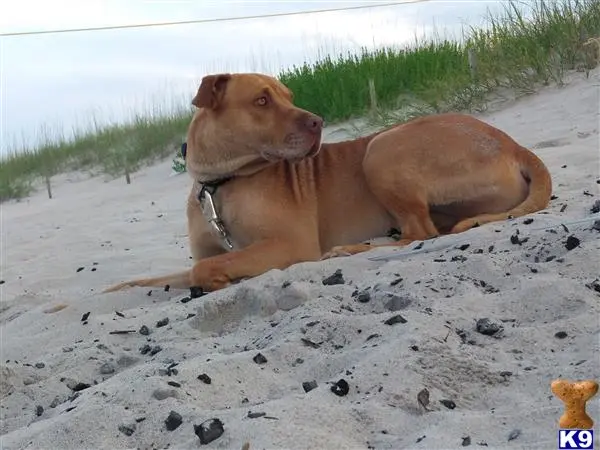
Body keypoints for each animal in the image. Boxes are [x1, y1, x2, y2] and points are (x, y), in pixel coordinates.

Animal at [103, 72, 552, 294]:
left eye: (288, 96)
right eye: (262, 100)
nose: (318, 122)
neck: (221, 182)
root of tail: (512, 144)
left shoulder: (288, 244)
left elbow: (208, 266)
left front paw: (217, 279)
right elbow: (171, 273)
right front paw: (121, 288)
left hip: (382, 149)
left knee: (419, 233)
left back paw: (349, 249)